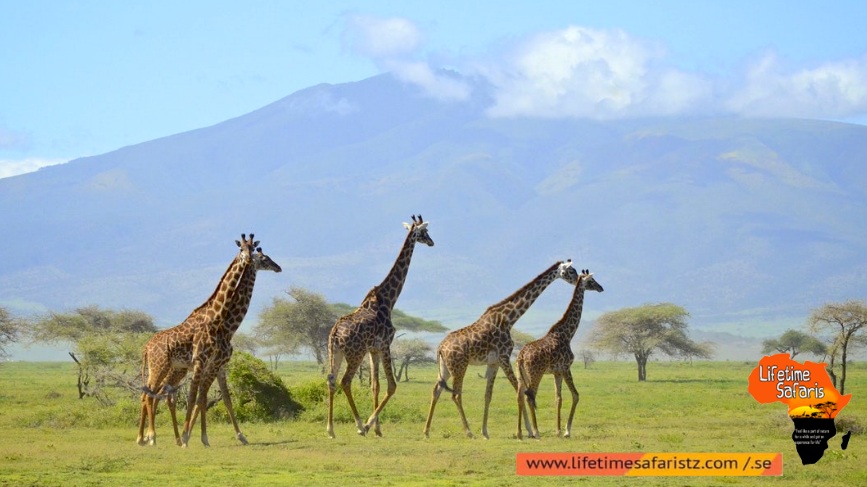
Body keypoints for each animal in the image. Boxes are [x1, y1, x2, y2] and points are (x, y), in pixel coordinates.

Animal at [137, 244, 281, 446]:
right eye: (265, 259)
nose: (278, 267)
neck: (226, 325)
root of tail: (146, 348)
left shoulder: (220, 366)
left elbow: (222, 398)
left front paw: (240, 436)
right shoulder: (208, 363)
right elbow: (199, 397)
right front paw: (192, 436)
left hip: (173, 370)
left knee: (160, 395)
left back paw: (153, 438)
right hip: (161, 367)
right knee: (150, 395)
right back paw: (151, 437)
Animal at [326, 214, 434, 438]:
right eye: (424, 232)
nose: (432, 242)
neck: (388, 299)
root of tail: (335, 333)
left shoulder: (373, 349)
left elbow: (375, 385)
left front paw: (377, 429)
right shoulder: (385, 344)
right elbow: (391, 386)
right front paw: (368, 425)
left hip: (335, 352)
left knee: (331, 379)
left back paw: (331, 430)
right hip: (354, 353)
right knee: (345, 381)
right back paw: (359, 426)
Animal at [422, 260, 579, 439]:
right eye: (571, 271)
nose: (578, 280)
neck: (509, 319)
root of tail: (440, 347)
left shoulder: (494, 362)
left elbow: (488, 395)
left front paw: (485, 432)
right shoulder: (504, 357)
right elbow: (519, 390)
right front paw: (528, 430)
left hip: (445, 368)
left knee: (436, 391)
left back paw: (426, 431)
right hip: (459, 367)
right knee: (455, 394)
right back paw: (469, 432)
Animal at [515, 269, 603, 440]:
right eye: (591, 281)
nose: (601, 288)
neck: (568, 333)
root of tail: (521, 356)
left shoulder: (556, 372)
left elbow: (558, 398)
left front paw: (557, 430)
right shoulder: (565, 368)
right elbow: (575, 395)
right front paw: (567, 431)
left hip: (521, 375)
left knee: (520, 396)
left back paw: (520, 432)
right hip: (536, 373)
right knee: (530, 396)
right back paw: (536, 432)